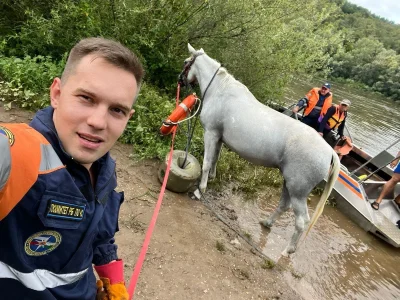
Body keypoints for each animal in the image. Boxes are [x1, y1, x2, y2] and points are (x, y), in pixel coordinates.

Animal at [185, 44, 340, 253]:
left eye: (186, 62)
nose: (182, 79)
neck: (220, 90)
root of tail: (330, 151)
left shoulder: (210, 133)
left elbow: (207, 162)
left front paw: (200, 190)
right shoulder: (218, 137)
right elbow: (216, 158)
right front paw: (212, 178)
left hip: (298, 191)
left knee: (301, 221)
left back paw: (288, 250)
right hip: (289, 184)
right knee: (283, 205)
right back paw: (267, 223)